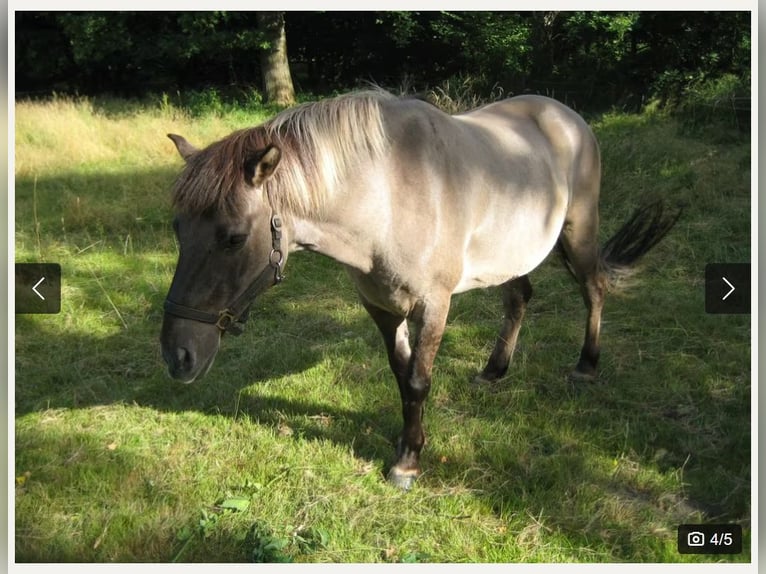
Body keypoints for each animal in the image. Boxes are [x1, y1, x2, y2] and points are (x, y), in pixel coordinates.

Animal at [160, 89, 679, 490]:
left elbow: (418, 380)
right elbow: (400, 373)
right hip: (511, 252)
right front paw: (408, 442)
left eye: (233, 237)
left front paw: (407, 463)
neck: (389, 196)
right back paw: (494, 371)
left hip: (579, 231)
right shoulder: (381, 305)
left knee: (594, 289)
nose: (177, 356)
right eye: (178, 229)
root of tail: (566, 115)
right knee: (519, 298)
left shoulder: (433, 304)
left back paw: (587, 366)